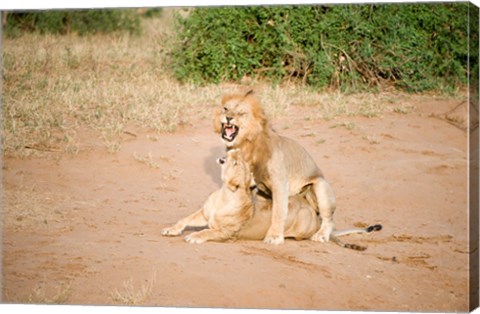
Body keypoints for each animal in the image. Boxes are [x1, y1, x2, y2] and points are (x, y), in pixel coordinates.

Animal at [212, 89, 336, 244]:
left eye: (241, 113)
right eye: (226, 108)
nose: (228, 118)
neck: (246, 145)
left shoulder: (280, 182)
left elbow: (279, 211)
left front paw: (274, 236)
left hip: (320, 185)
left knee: (328, 219)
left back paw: (321, 235)